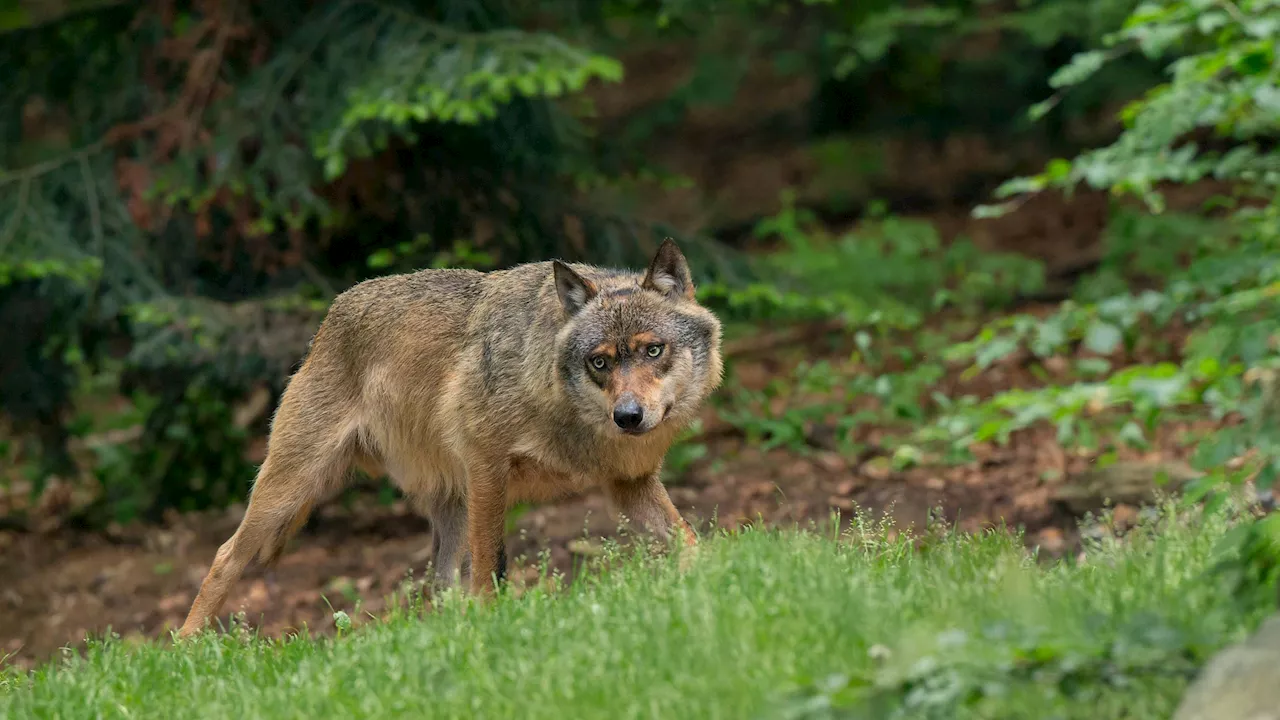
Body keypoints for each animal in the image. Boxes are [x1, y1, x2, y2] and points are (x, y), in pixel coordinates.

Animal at [175, 237, 727, 632]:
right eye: (600, 362)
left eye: (653, 350)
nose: (628, 417)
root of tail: (330, 317)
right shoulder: (486, 468)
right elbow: (487, 571)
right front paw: (491, 624)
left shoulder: (629, 483)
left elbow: (689, 540)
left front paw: (722, 575)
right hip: (288, 494)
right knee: (223, 556)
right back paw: (185, 648)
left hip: (448, 510)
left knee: (436, 590)